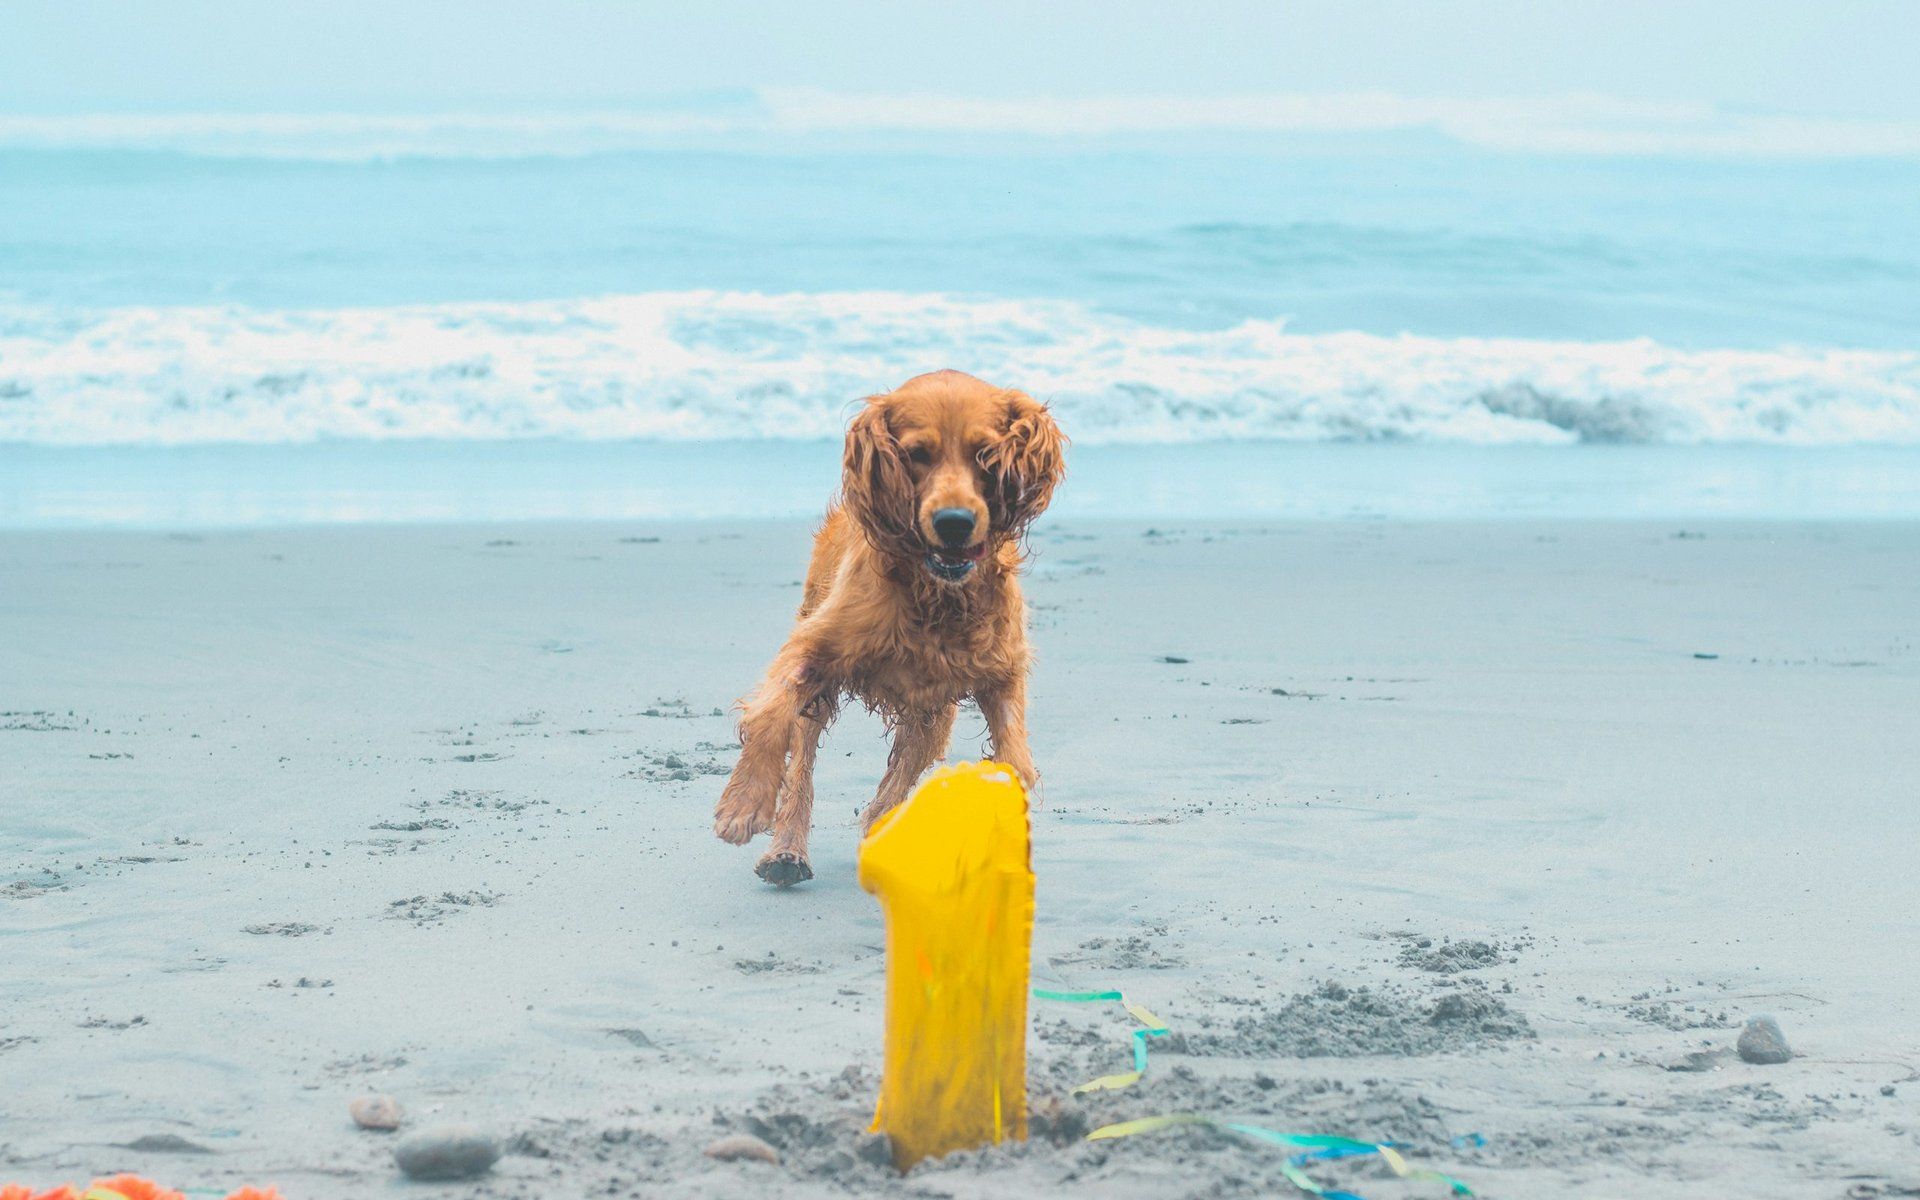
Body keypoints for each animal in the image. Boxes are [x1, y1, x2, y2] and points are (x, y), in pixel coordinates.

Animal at [714, 364, 1067, 879]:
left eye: (985, 454)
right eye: (917, 454)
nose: (955, 522)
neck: (936, 594)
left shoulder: (1001, 671)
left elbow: (1016, 760)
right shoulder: (814, 647)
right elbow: (771, 712)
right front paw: (744, 803)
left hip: (932, 715)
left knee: (899, 776)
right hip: (823, 687)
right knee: (803, 765)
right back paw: (786, 851)